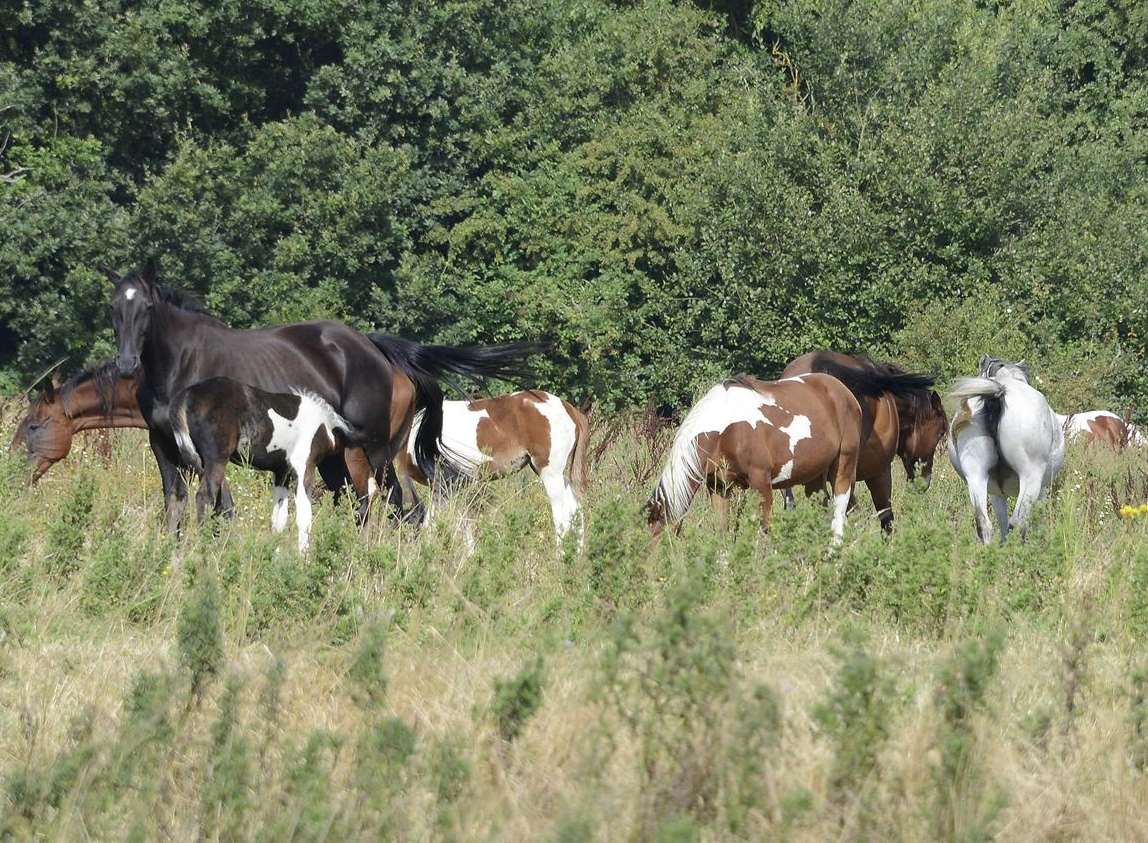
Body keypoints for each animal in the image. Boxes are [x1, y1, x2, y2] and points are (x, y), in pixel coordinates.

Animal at [104, 263, 532, 535]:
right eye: (115, 308)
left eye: (146, 307)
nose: (126, 364)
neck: (181, 364)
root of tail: (378, 351)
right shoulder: (162, 446)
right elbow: (174, 504)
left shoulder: (215, 452)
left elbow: (221, 510)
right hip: (341, 459)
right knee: (394, 508)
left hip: (371, 453)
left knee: (390, 505)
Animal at [394, 390, 592, 544]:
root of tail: (568, 408)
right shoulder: (442, 487)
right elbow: (435, 525)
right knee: (576, 511)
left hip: (550, 473)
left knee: (561, 518)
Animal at [647, 372, 863, 544]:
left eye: (659, 538)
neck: (727, 429)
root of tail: (844, 392)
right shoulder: (718, 488)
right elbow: (722, 533)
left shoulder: (762, 484)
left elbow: (763, 533)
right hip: (815, 476)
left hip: (843, 467)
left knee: (838, 515)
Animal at [941, 358, 1065, 548]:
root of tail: (998, 394)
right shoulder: (1042, 491)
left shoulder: (996, 494)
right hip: (1031, 479)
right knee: (1017, 523)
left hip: (976, 476)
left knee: (984, 523)